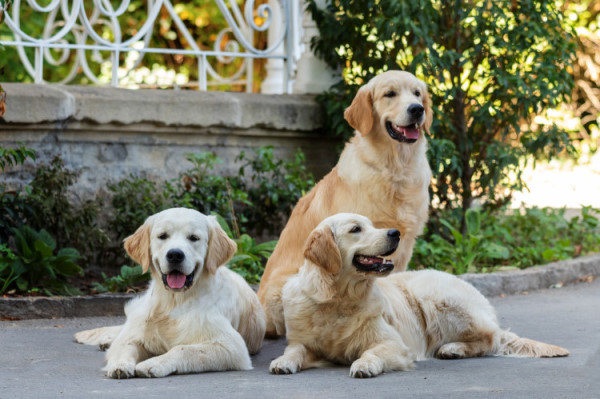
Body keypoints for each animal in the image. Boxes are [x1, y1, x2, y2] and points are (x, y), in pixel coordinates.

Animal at [74, 208, 264, 380]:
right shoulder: (133, 336)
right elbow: (125, 345)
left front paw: (154, 363)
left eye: (194, 238)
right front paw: (120, 365)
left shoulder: (232, 346)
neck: (173, 301)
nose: (175, 255)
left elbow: (183, 349)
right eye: (163, 236)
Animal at [270, 212, 568, 378]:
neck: (337, 299)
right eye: (356, 229)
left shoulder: (394, 343)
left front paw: (365, 365)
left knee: (491, 338)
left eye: (371, 224)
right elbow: (295, 350)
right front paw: (282, 361)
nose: (395, 232)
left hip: (434, 297)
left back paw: (453, 348)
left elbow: (372, 352)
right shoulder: (304, 342)